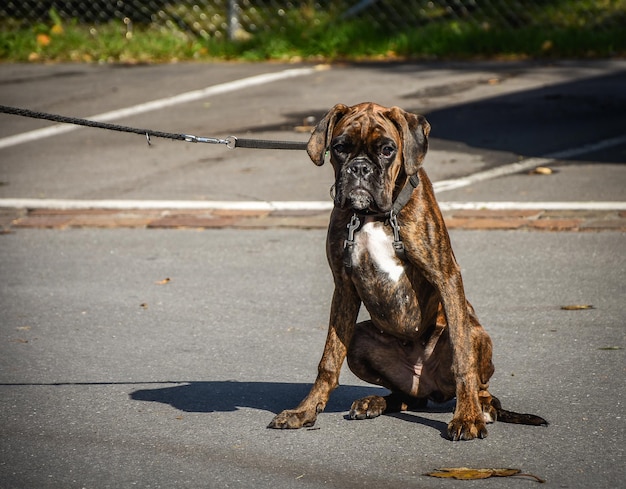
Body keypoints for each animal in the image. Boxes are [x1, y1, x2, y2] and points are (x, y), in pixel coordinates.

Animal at [266, 102, 544, 438]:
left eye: (387, 150)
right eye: (340, 148)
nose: (360, 168)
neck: (373, 215)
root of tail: (430, 385)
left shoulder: (446, 276)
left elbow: (462, 359)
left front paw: (467, 418)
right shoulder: (343, 287)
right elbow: (329, 361)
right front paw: (304, 412)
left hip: (476, 334)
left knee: (480, 385)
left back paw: (483, 409)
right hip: (360, 341)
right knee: (409, 397)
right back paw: (374, 403)